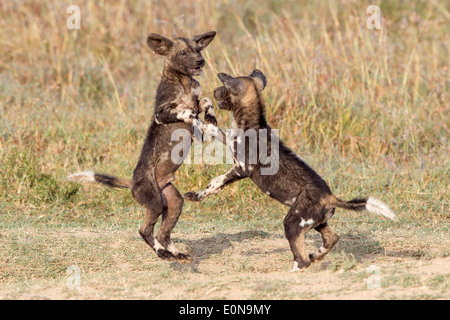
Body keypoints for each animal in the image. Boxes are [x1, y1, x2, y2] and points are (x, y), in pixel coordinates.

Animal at [67, 30, 219, 262]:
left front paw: (210, 117)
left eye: (198, 50)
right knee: (145, 230)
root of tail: (132, 182)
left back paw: (175, 253)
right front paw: (196, 125)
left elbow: (205, 100)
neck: (183, 82)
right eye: (183, 53)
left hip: (173, 201)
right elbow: (187, 111)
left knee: (163, 233)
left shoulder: (196, 99)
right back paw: (162, 253)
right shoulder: (163, 113)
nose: (200, 61)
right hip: (154, 201)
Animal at [183, 69, 398, 270]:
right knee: (331, 238)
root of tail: (331, 196)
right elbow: (213, 130)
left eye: (224, 87)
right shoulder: (229, 141)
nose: (213, 91)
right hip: (315, 221)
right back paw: (316, 255)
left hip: (293, 222)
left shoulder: (241, 169)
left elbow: (215, 182)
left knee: (302, 260)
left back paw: (294, 270)